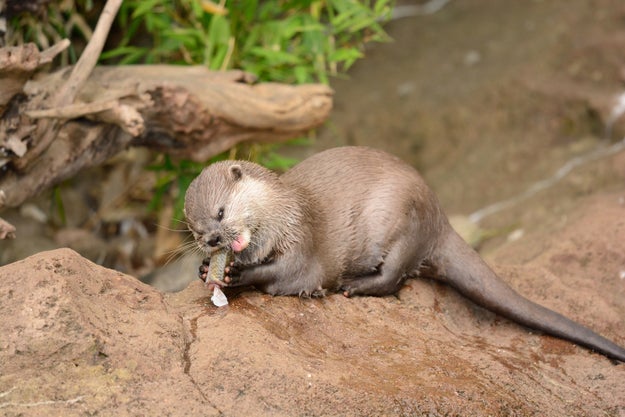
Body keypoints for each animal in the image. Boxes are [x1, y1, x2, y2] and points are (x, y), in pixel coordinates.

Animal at [184, 146, 624, 360]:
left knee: (395, 277)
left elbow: (291, 274)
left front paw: (239, 276)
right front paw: (207, 269)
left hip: (401, 221)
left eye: (220, 212)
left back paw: (355, 285)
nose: (214, 240)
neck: (282, 211)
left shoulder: (301, 241)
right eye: (196, 229)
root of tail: (438, 216)